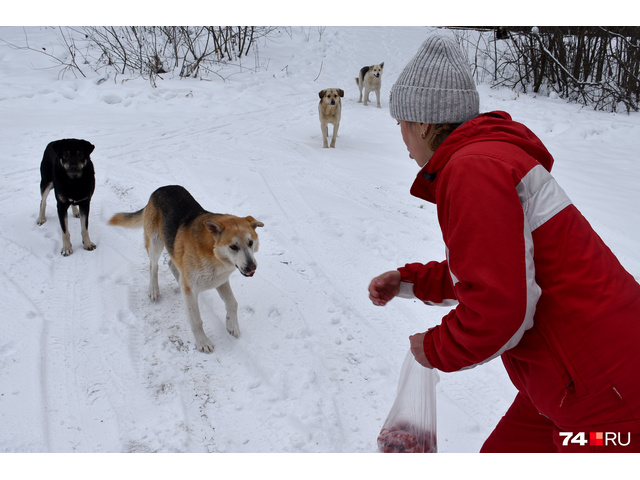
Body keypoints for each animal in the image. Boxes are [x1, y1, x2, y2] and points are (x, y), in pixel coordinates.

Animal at [109, 186, 264, 354]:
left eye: (250, 243)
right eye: (233, 247)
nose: (252, 267)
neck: (212, 253)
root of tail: (160, 189)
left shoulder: (221, 280)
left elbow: (232, 303)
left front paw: (232, 325)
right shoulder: (194, 290)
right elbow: (196, 320)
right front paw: (203, 342)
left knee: (171, 263)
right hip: (155, 244)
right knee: (154, 266)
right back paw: (154, 289)